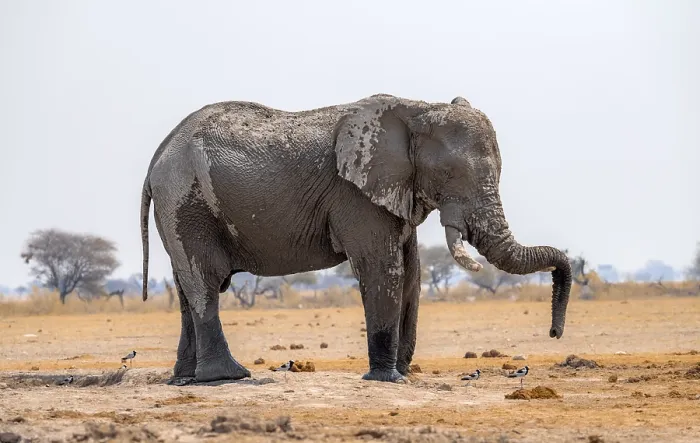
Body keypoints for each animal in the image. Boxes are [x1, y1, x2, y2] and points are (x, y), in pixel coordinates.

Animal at [140, 93, 572, 384]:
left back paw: (184, 379)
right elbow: (385, 270)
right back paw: (228, 376)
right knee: (205, 283)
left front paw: (403, 375)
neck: (415, 108)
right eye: (451, 174)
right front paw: (388, 379)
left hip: (178, 206)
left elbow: (412, 276)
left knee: (185, 288)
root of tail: (157, 157)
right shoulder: (357, 195)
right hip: (186, 201)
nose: (555, 333)